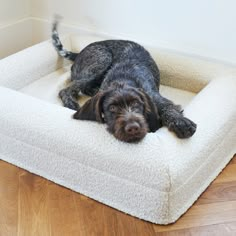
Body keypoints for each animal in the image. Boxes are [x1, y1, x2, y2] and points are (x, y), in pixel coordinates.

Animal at [51, 18, 195, 142]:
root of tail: (78, 53)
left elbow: (169, 110)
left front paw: (181, 123)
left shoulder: (158, 100)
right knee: (67, 89)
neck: (122, 82)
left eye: (136, 104)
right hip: (101, 60)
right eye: (112, 108)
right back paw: (71, 102)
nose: (132, 128)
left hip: (103, 59)